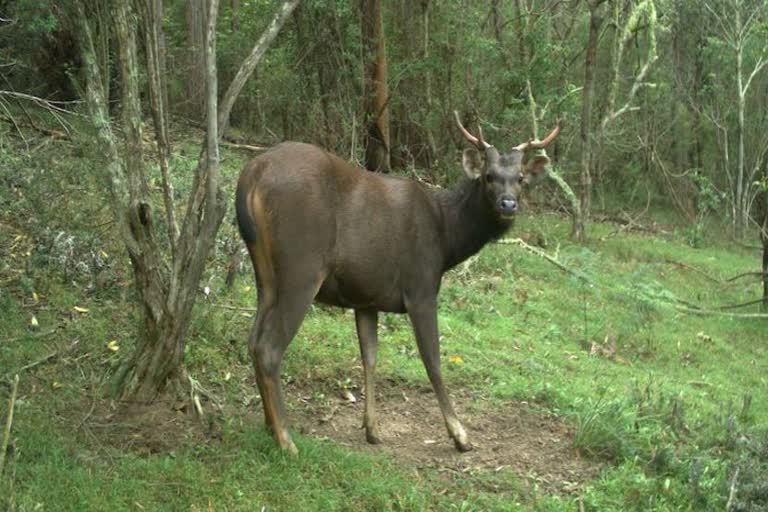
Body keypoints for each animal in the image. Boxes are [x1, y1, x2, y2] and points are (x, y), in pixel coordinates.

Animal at [234, 111, 560, 452]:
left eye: (520, 178)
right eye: (488, 177)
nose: (508, 204)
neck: (446, 237)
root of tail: (252, 173)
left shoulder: (366, 296)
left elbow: (370, 357)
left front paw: (372, 429)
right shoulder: (421, 287)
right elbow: (433, 360)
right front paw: (460, 434)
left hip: (266, 276)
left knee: (253, 339)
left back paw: (271, 426)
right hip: (302, 265)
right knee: (269, 347)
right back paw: (286, 440)